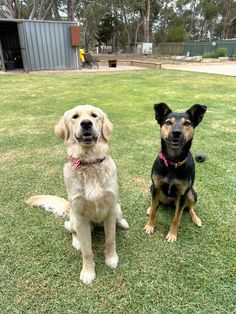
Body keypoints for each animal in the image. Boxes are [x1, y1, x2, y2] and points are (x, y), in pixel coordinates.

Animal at [144, 103, 206, 243]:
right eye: (168, 122)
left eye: (187, 123)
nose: (176, 133)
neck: (173, 161)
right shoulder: (156, 186)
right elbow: (154, 211)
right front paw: (150, 226)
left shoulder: (183, 195)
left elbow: (177, 218)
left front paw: (172, 234)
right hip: (153, 188)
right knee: (156, 203)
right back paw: (150, 208)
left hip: (191, 194)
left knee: (189, 208)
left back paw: (196, 219)